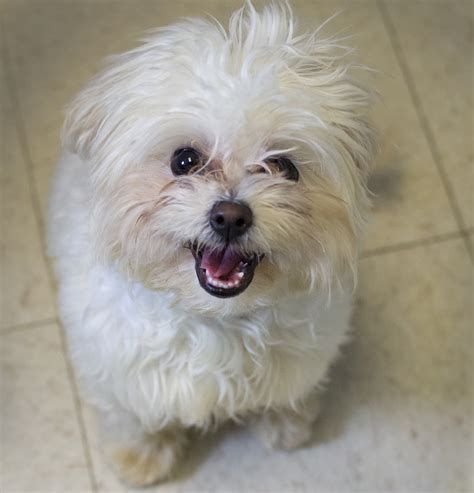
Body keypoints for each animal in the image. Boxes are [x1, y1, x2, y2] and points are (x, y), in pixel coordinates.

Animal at [48, 1, 374, 486]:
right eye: (184, 160)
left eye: (283, 167)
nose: (230, 217)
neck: (216, 320)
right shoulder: (115, 362)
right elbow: (132, 412)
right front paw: (140, 456)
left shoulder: (307, 349)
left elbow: (290, 389)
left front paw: (285, 423)